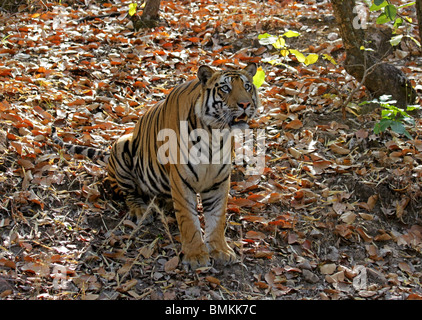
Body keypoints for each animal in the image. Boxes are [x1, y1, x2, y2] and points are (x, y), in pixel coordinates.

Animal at [52, 63, 260, 268]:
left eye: (247, 86)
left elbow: (217, 218)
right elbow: (189, 220)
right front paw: (195, 255)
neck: (215, 134)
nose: (245, 104)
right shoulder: (182, 180)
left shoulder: (219, 181)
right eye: (225, 88)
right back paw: (141, 211)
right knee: (128, 194)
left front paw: (220, 250)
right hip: (122, 145)